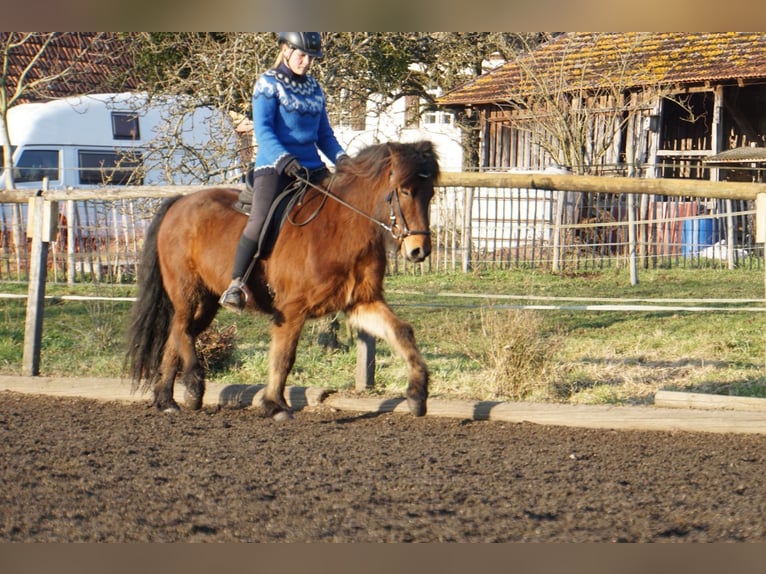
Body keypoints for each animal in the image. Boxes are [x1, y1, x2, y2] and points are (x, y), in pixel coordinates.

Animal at [124, 140, 440, 418]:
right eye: (405, 191)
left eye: (430, 194)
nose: (419, 250)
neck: (341, 229)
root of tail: (179, 203)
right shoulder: (291, 309)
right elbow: (284, 356)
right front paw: (274, 405)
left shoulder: (360, 303)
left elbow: (401, 332)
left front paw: (417, 395)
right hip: (187, 291)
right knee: (181, 328)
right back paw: (192, 385)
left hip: (207, 302)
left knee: (177, 335)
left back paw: (167, 400)